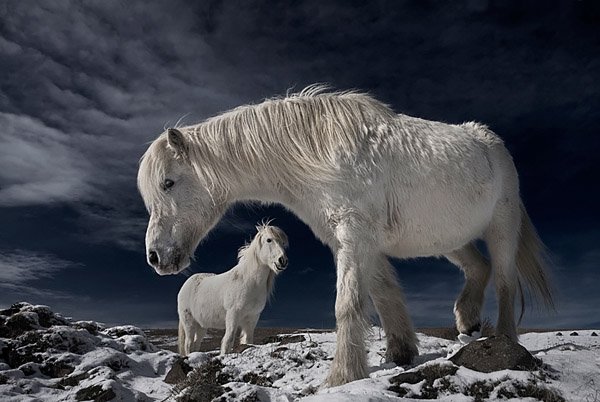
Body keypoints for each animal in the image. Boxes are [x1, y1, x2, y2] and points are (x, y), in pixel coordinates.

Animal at [176, 223, 288, 354]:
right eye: (269, 240)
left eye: (283, 243)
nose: (283, 261)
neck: (249, 282)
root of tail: (186, 284)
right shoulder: (233, 315)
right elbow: (228, 340)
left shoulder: (252, 318)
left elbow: (248, 340)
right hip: (189, 322)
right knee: (188, 344)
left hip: (201, 325)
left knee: (196, 344)